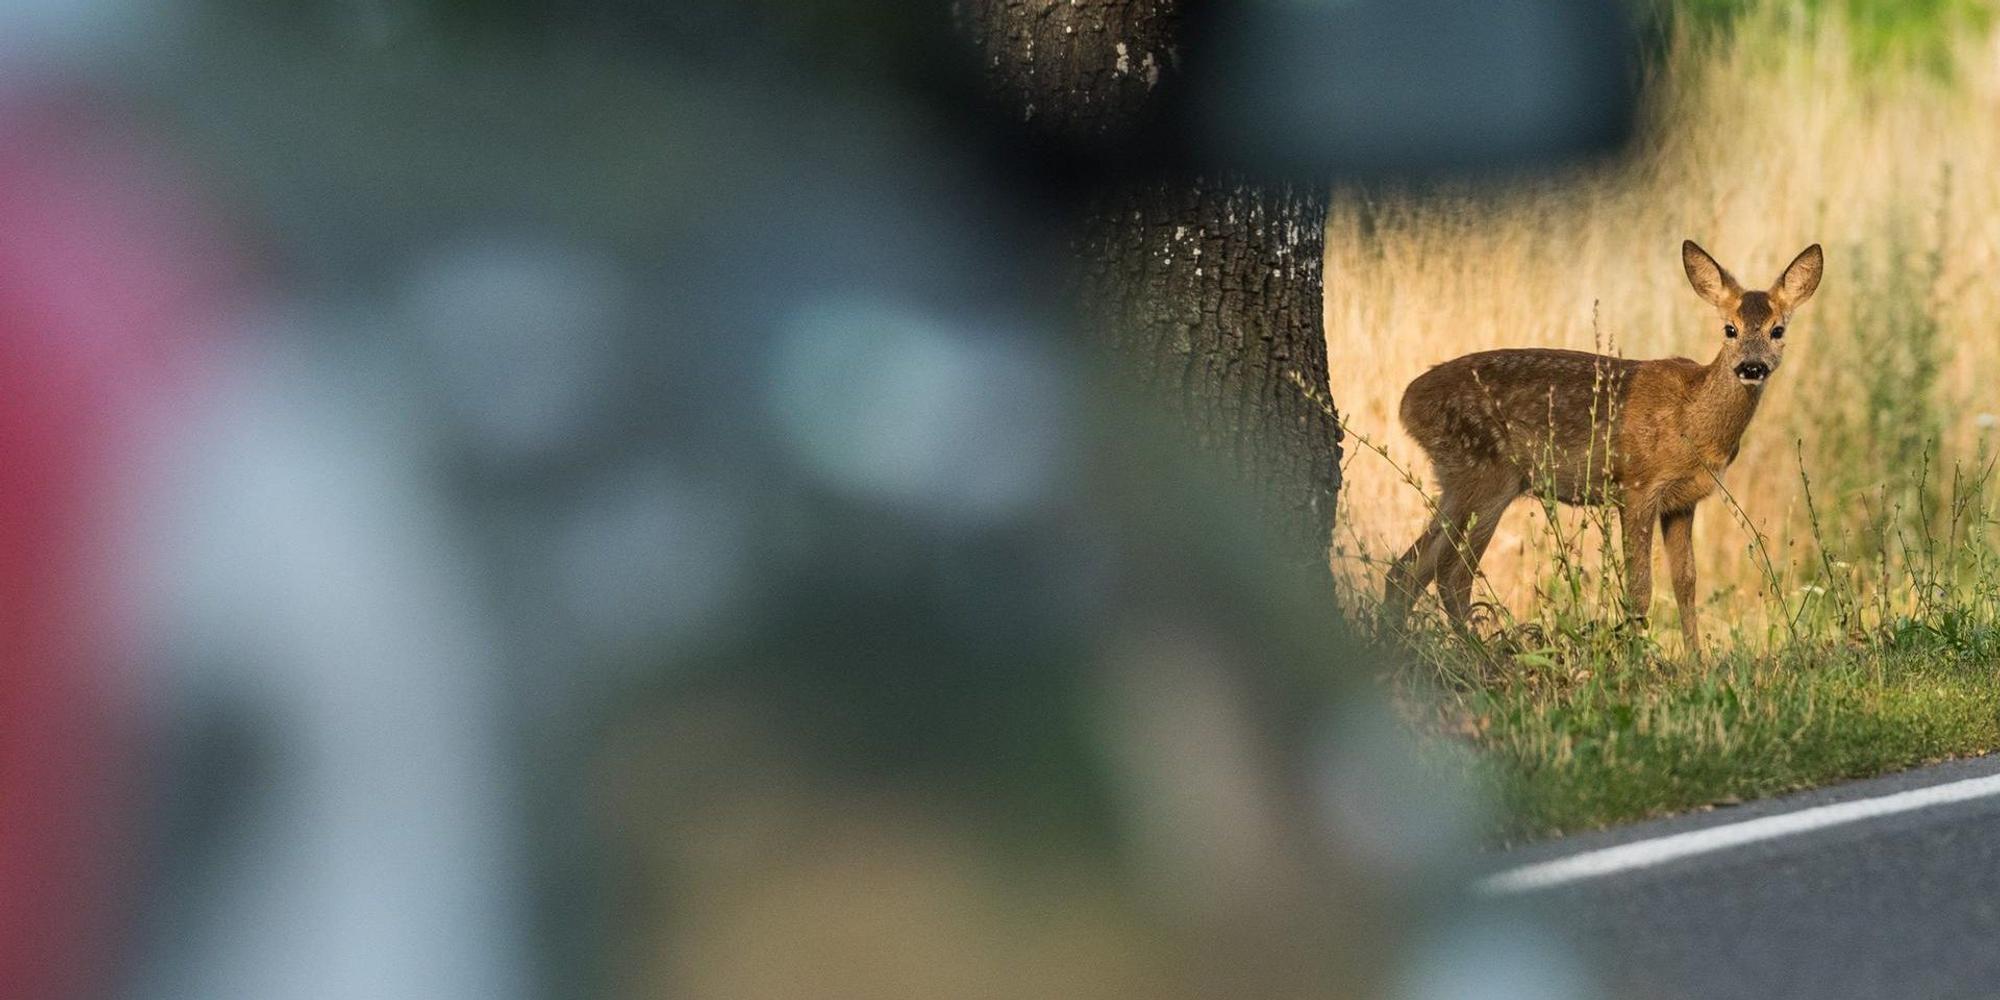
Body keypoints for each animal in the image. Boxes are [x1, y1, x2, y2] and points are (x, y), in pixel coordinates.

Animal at [1383, 240, 1823, 650]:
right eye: (1729, 329)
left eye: (1778, 330)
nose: (1752, 367)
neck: (1693, 420)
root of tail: (1408, 403)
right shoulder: (1638, 486)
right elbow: (1640, 590)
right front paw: (1638, 659)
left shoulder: (1682, 501)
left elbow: (1686, 584)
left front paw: (1696, 664)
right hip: (1487, 476)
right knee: (1451, 574)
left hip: (1457, 481)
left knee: (1408, 569)